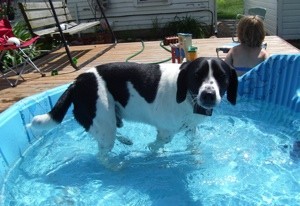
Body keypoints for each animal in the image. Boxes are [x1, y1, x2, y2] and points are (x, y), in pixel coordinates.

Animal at [31, 57, 238, 165]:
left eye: (222, 77)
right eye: (196, 76)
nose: (209, 95)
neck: (187, 96)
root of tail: (76, 83)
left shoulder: (190, 128)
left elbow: (193, 144)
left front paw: (195, 157)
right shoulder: (166, 131)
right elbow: (157, 144)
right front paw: (152, 151)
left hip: (109, 122)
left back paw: (125, 140)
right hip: (105, 126)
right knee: (101, 155)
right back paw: (114, 167)